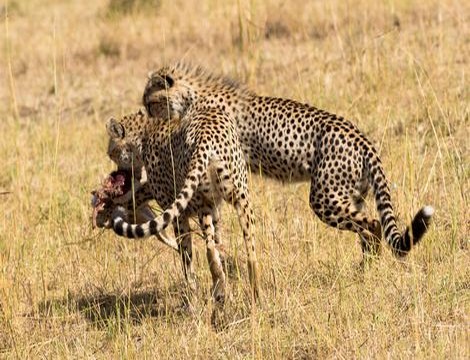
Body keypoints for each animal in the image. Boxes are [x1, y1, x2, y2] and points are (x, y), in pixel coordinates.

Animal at [94, 106, 258, 304]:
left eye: (111, 153)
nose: (116, 171)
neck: (146, 132)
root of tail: (206, 134)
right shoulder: (215, 208)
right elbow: (219, 245)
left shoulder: (176, 210)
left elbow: (188, 257)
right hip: (240, 198)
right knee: (248, 249)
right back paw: (253, 295)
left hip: (199, 207)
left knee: (202, 251)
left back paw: (212, 293)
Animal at [142, 62, 434, 262]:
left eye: (149, 99)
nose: (143, 109)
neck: (192, 96)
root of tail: (361, 138)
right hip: (352, 194)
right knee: (368, 229)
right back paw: (366, 270)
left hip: (324, 196)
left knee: (372, 225)